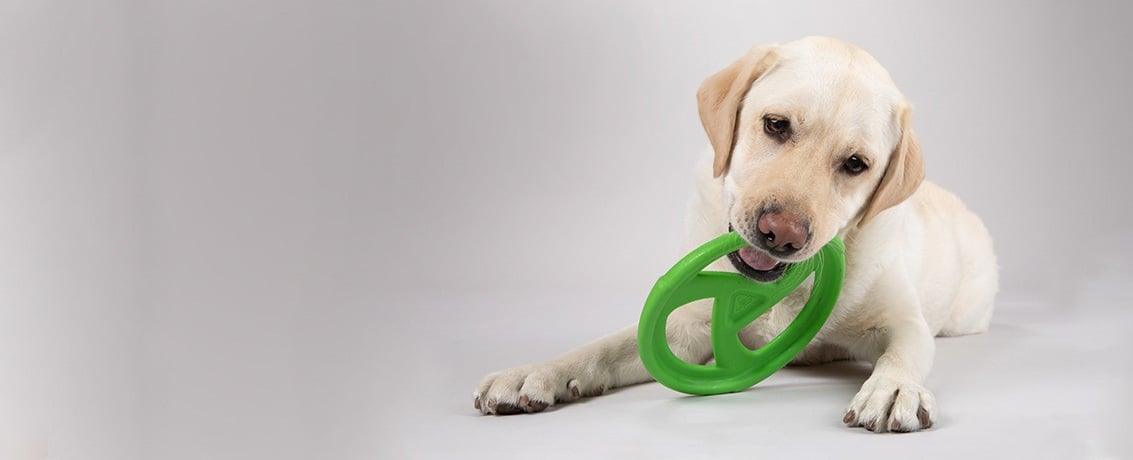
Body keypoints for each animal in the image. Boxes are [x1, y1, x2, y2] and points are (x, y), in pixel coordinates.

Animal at [473, 34, 997, 430]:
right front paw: (535, 374)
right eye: (776, 125)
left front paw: (894, 389)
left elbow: (904, 351)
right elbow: (602, 348)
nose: (782, 234)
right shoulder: (686, 327)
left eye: (855, 164)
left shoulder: (902, 320)